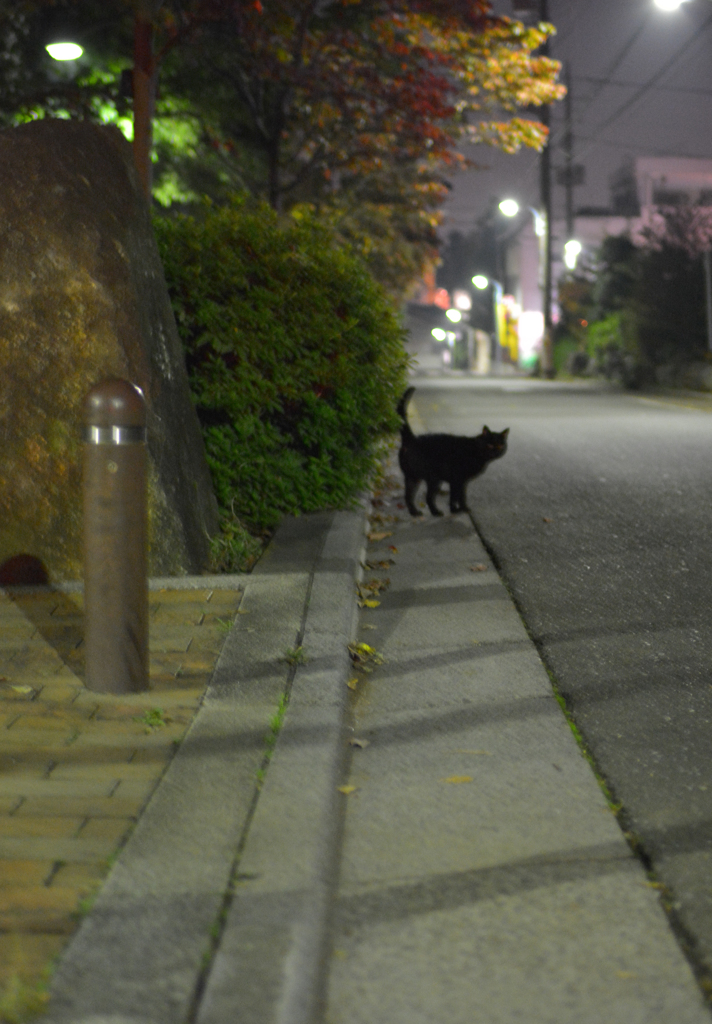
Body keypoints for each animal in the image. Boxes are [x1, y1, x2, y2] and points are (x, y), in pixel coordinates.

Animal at [397, 385, 510, 520]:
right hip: (433, 479)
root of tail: (412, 439)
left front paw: (458, 509)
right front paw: (459, 509)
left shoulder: (458, 481)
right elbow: (457, 496)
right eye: (490, 445)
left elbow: (456, 496)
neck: (476, 449)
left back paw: (414, 513)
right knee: (428, 497)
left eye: (500, 445)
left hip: (412, 478)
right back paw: (436, 512)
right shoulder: (458, 479)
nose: (496, 451)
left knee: (408, 496)